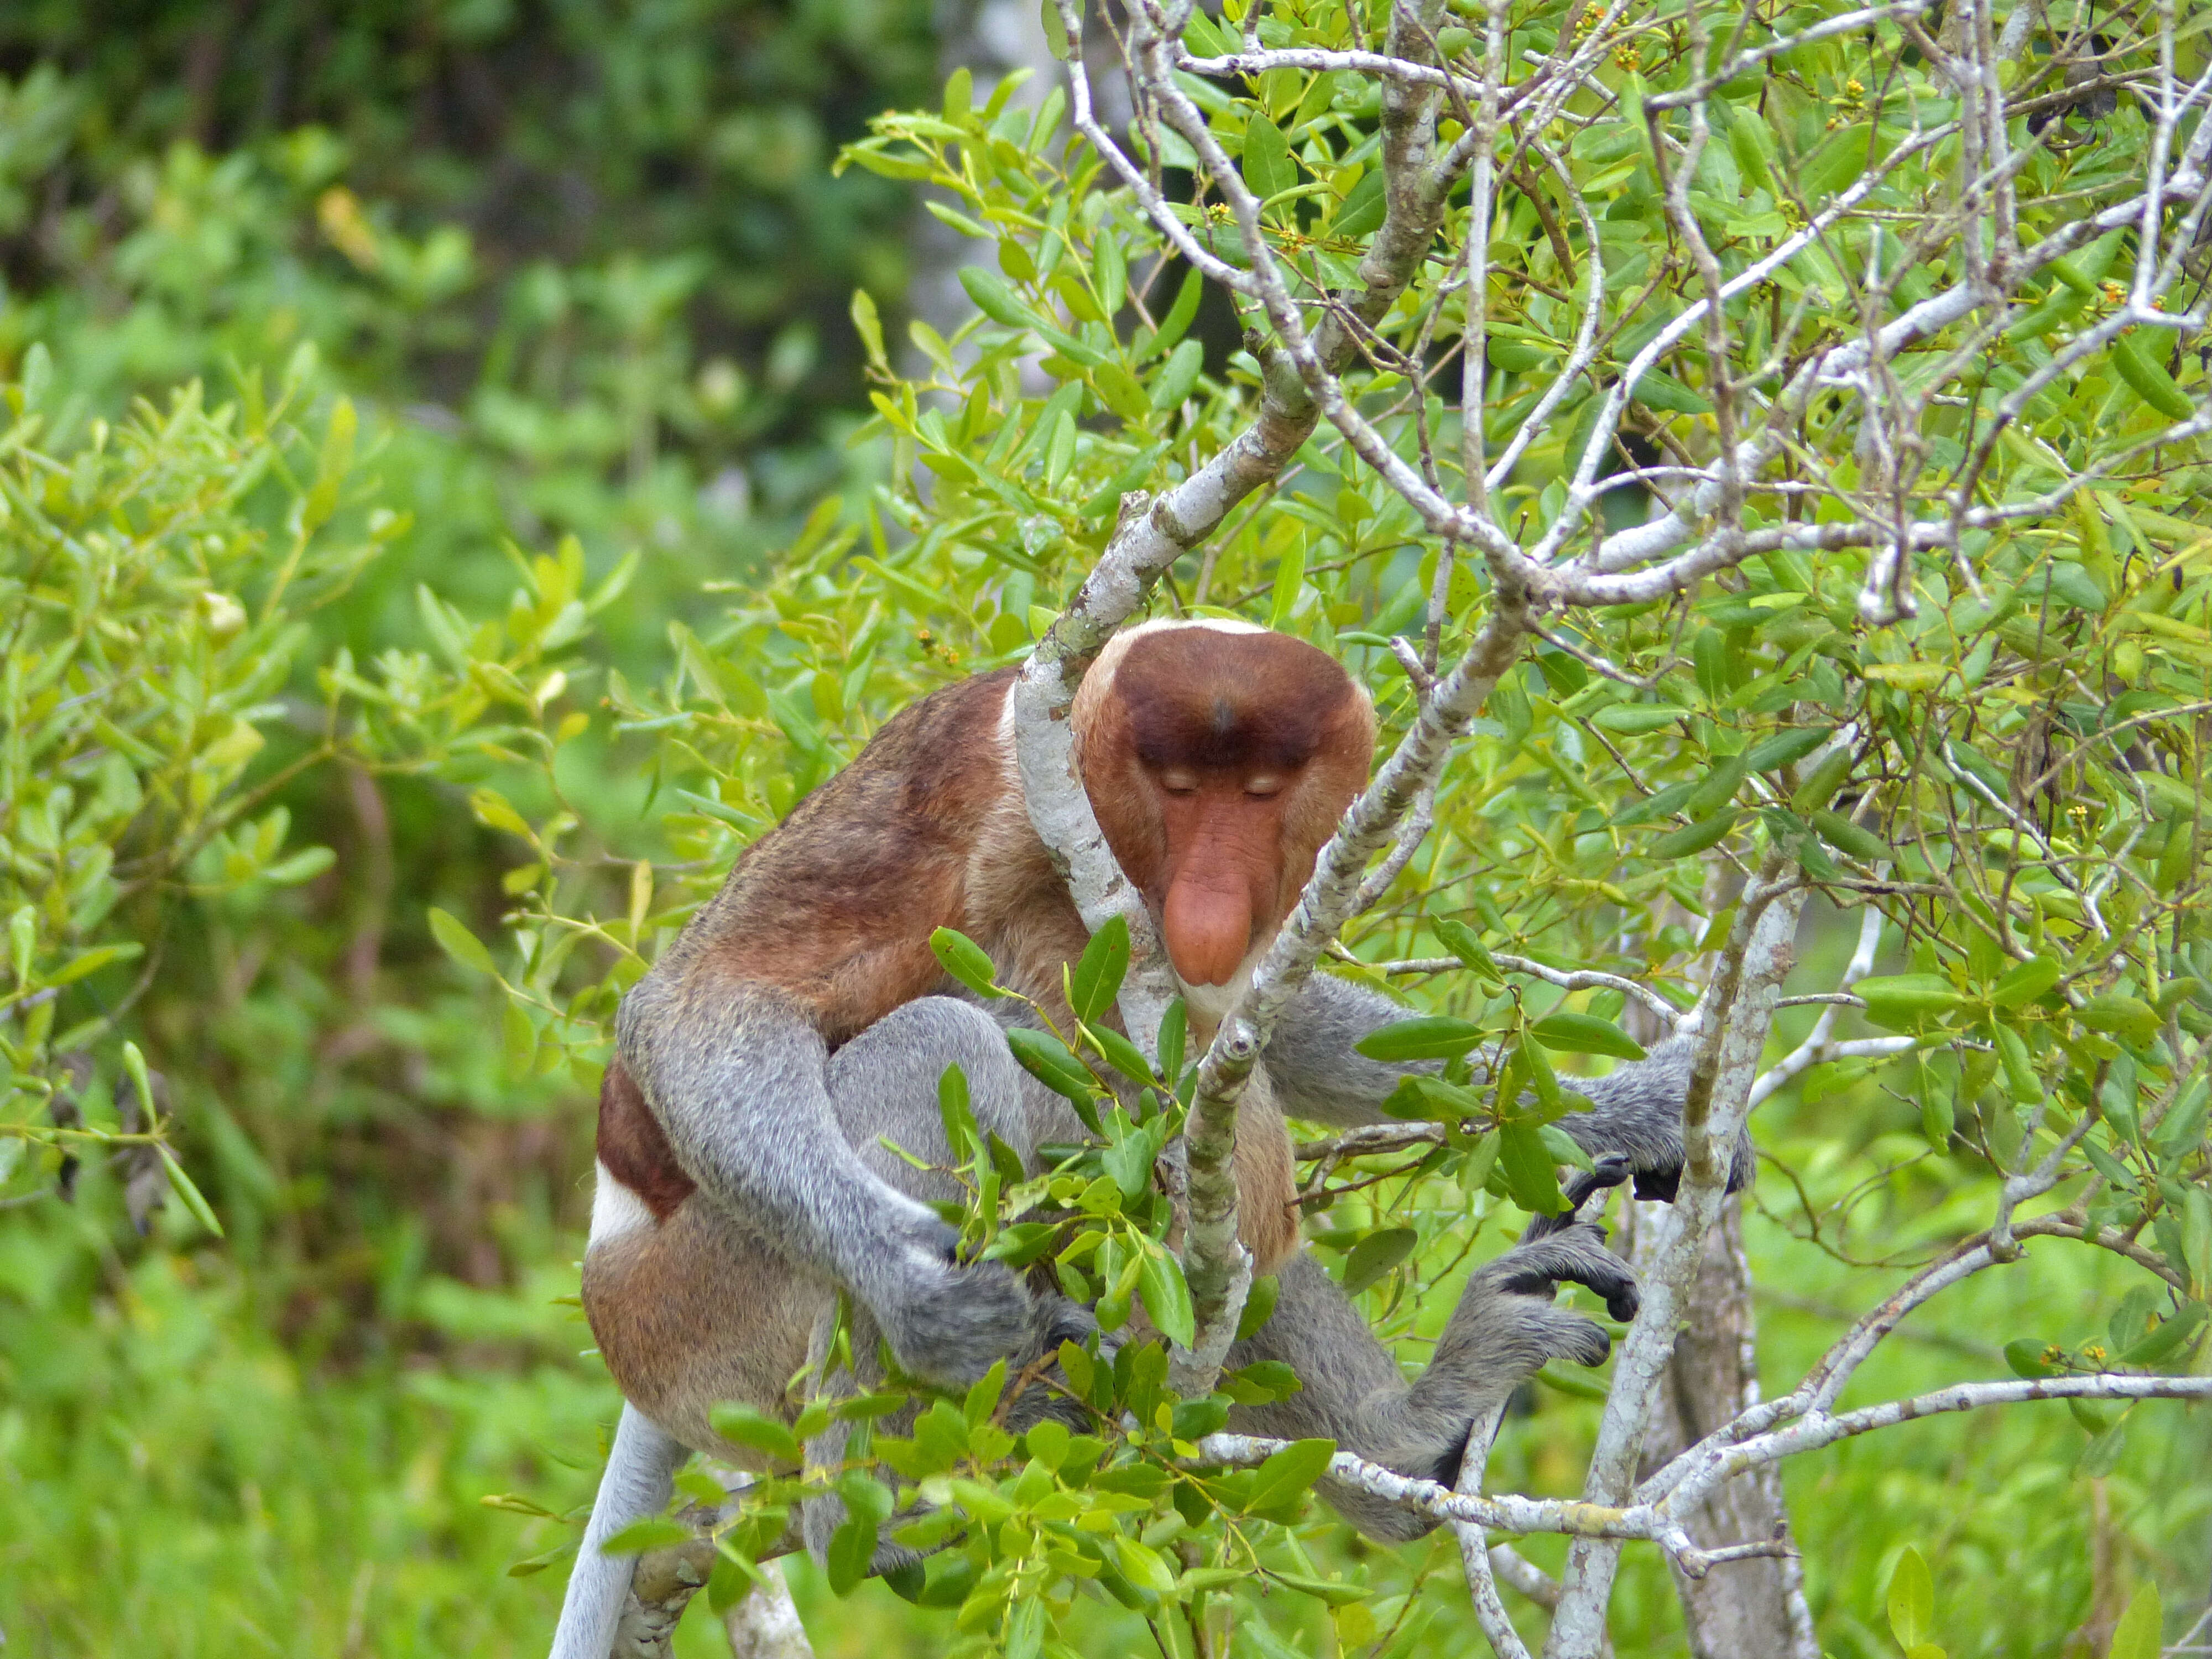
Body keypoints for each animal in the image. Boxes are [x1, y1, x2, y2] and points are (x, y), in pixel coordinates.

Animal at [544, 624, 1717, 1659]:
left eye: (1263, 795)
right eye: (1180, 791)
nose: (1209, 902)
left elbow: (1256, 1032)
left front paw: (1631, 1107)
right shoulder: (972, 784)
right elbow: (707, 1000)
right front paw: (919, 1294)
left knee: (1223, 1230)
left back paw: (1412, 1434)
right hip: (706, 1305)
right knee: (940, 1045)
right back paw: (878, 1504)